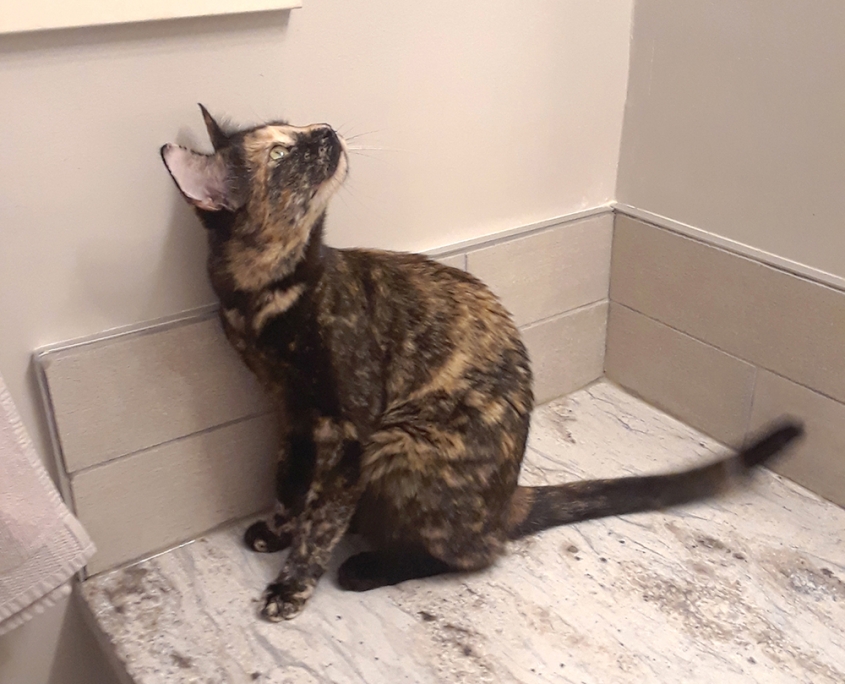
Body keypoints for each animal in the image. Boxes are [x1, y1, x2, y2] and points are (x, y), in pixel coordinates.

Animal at [161, 105, 803, 621]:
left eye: (298, 129)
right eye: (281, 152)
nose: (326, 129)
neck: (268, 299)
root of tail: (506, 500)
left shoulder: (349, 430)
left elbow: (323, 520)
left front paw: (291, 586)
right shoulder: (290, 412)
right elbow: (287, 483)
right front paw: (275, 531)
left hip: (399, 442)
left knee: (474, 555)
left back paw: (366, 569)